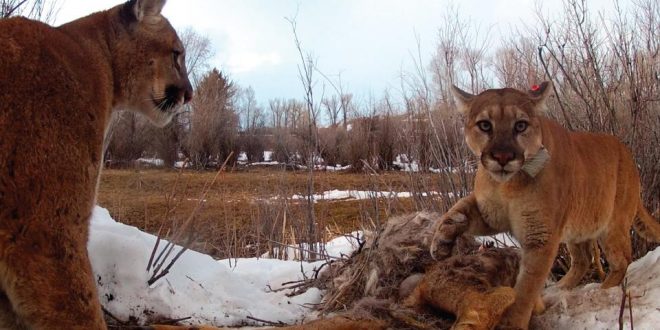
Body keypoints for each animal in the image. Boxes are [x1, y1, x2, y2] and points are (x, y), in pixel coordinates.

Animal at [430, 82, 656, 330]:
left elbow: (527, 286)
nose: (503, 156)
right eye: (485, 125)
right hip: (578, 225)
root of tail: (628, 153)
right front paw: (441, 242)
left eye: (520, 125)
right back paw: (559, 289)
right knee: (584, 258)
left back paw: (602, 290)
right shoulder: (490, 214)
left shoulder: (540, 236)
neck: (507, 185)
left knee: (622, 260)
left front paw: (511, 323)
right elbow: (458, 209)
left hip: (612, 226)